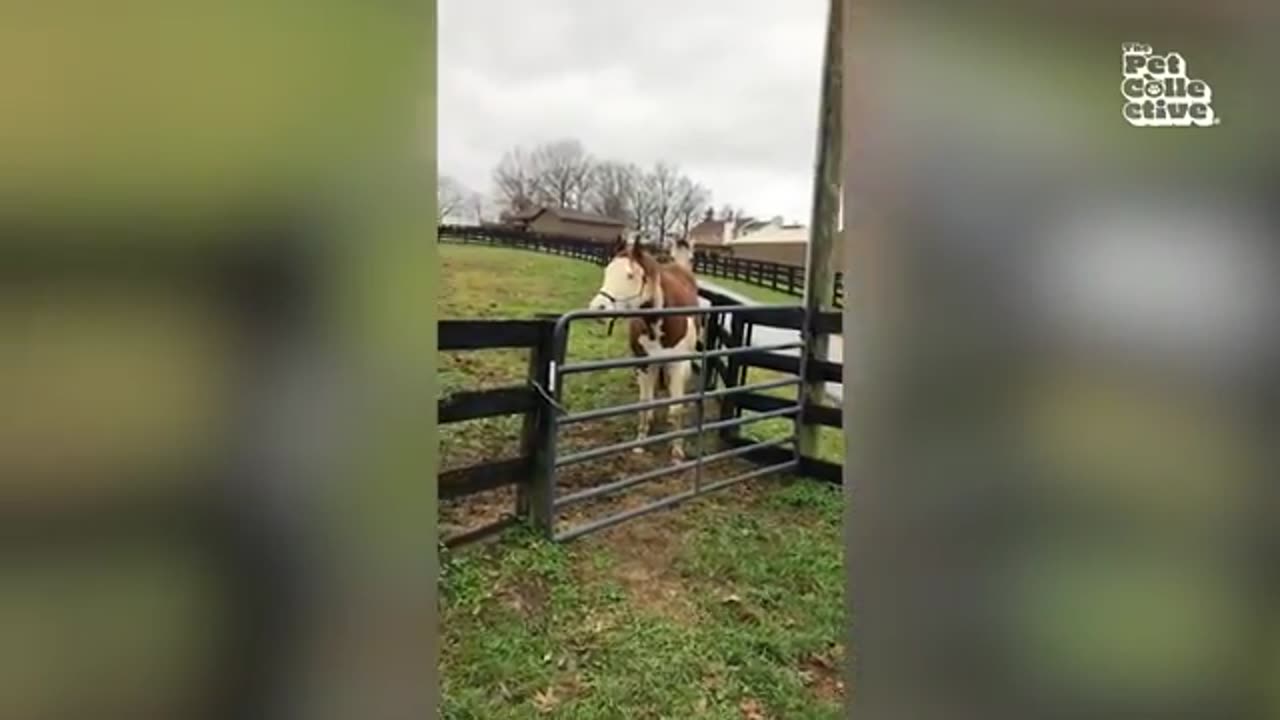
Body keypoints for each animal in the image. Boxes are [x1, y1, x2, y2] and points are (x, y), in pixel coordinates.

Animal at [586, 237, 701, 458]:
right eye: (607, 271)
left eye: (630, 275)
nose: (597, 309)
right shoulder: (644, 364)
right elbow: (645, 405)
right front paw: (640, 442)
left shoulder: (678, 365)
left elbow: (676, 410)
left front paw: (677, 450)